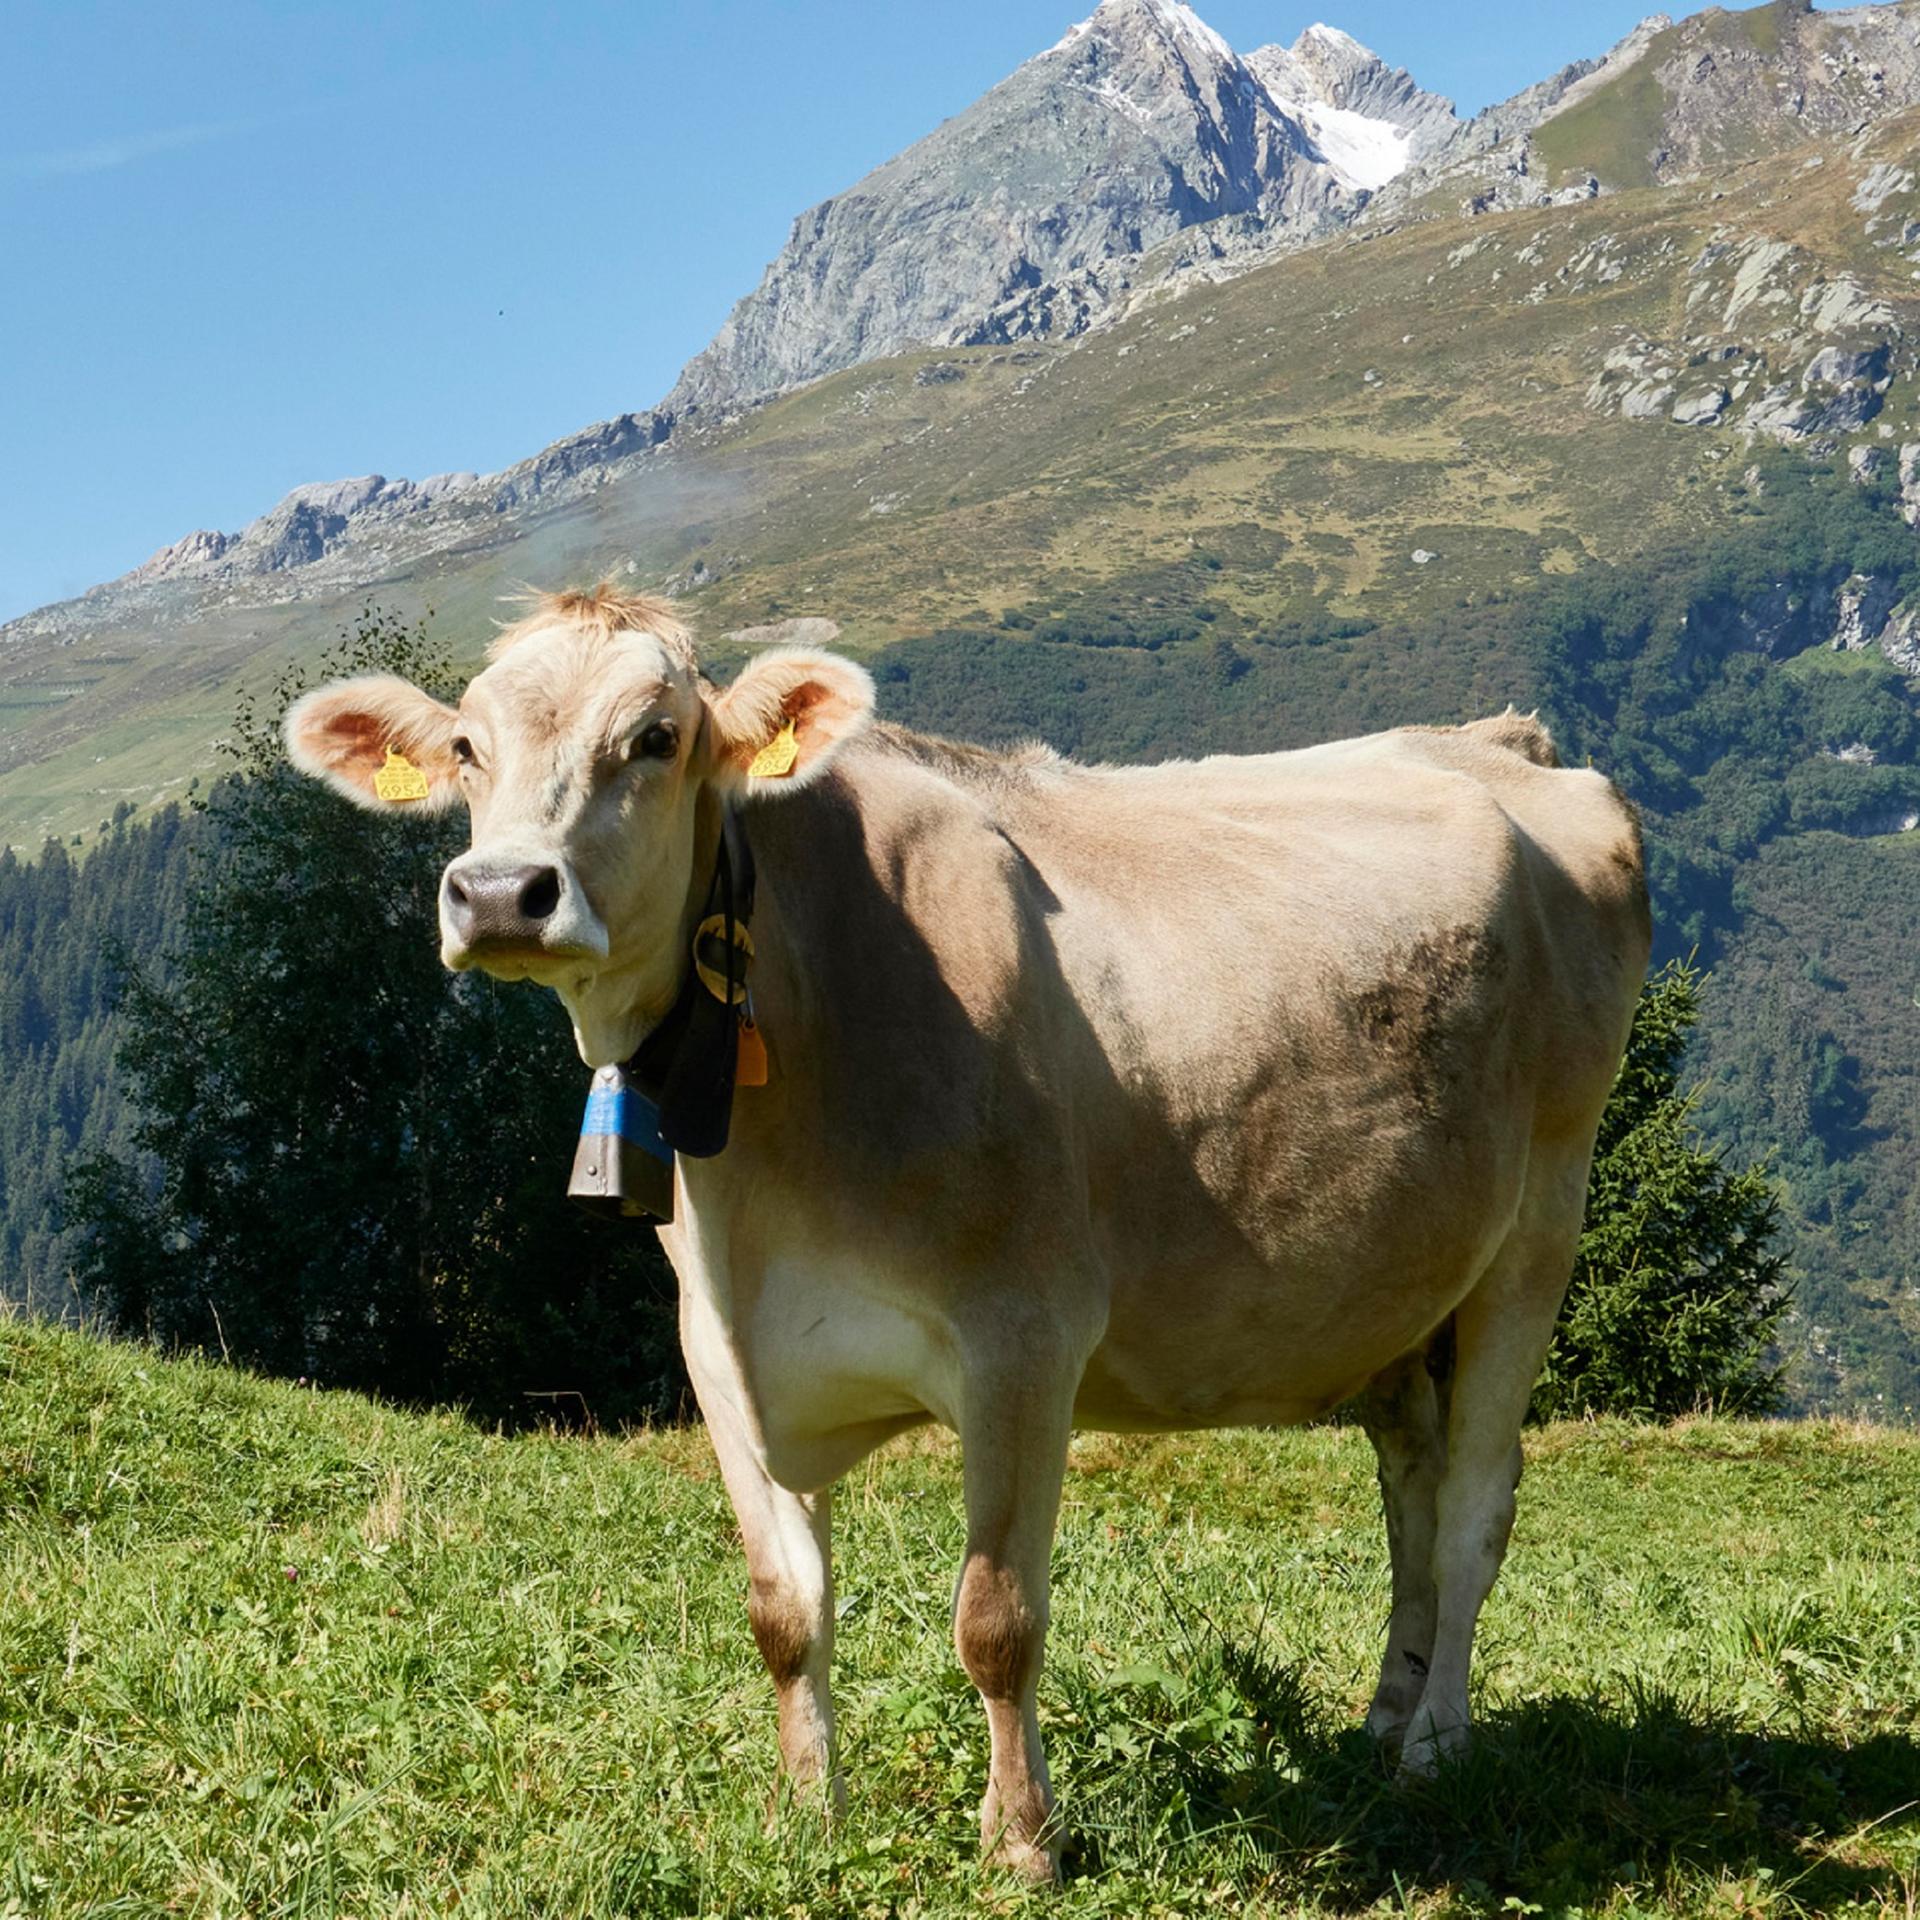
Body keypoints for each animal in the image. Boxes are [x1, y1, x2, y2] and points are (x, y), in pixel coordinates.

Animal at [284, 579, 1651, 1873]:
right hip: (1398, 1283)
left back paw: (1435, 1749)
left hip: (1541, 1222)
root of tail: (1503, 742)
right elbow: (784, 1615)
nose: (501, 893)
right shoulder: (721, 1351)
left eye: (658, 737)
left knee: (1475, 1500)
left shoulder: (1024, 1334)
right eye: (468, 746)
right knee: (1412, 1481)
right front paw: (804, 1816)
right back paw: (1384, 1714)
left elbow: (997, 1622)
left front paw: (1021, 1839)